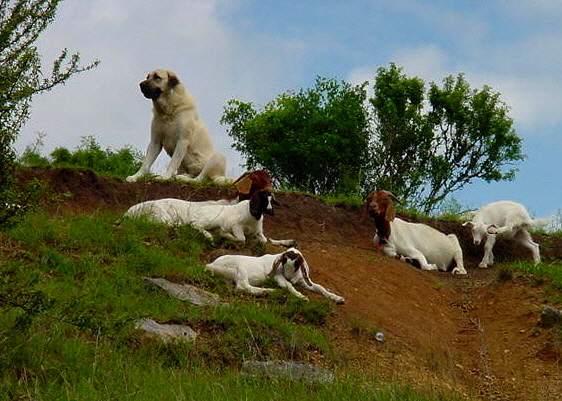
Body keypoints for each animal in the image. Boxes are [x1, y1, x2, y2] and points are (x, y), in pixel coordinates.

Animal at [124, 188, 296, 247]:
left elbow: (266, 240)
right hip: (163, 216)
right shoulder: (235, 225)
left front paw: (289, 241)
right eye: (263, 199)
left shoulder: (258, 232)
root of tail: (128, 213)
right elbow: (242, 238)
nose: (271, 211)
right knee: (186, 225)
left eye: (272, 200)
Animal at [206, 245, 344, 302]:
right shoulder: (279, 278)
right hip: (240, 269)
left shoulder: (303, 281)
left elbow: (320, 288)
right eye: (283, 261)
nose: (289, 278)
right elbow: (289, 286)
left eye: (297, 263)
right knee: (243, 286)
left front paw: (337, 298)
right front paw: (302, 296)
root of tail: (211, 265)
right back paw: (271, 291)